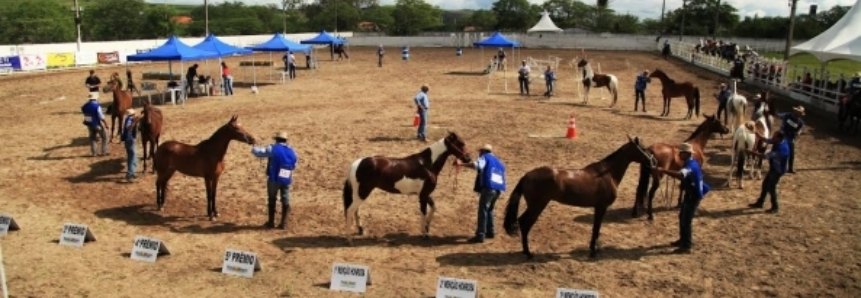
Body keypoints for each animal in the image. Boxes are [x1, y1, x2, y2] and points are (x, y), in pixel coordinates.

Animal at [340, 132, 470, 243]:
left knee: (355, 210)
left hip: (359, 194)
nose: (468, 159)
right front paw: (424, 234)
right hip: (362, 192)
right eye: (461, 143)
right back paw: (349, 239)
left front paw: (427, 227)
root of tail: (356, 164)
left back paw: (360, 230)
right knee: (350, 210)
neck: (427, 165)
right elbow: (423, 212)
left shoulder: (425, 194)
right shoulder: (423, 195)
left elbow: (433, 208)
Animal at [500, 136, 656, 260]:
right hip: (537, 206)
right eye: (643, 148)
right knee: (525, 224)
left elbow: (595, 228)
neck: (607, 174)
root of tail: (527, 176)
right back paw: (528, 253)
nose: (653, 161)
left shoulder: (598, 207)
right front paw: (593, 251)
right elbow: (596, 228)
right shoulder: (601, 207)